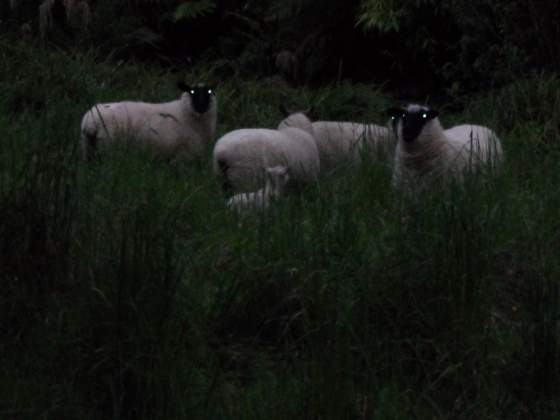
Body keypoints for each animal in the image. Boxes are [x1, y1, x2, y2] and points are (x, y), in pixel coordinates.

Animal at [80, 82, 218, 161]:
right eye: (192, 92)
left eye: (209, 92)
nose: (201, 107)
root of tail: (90, 122)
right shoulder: (185, 153)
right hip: (107, 146)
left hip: (89, 146)